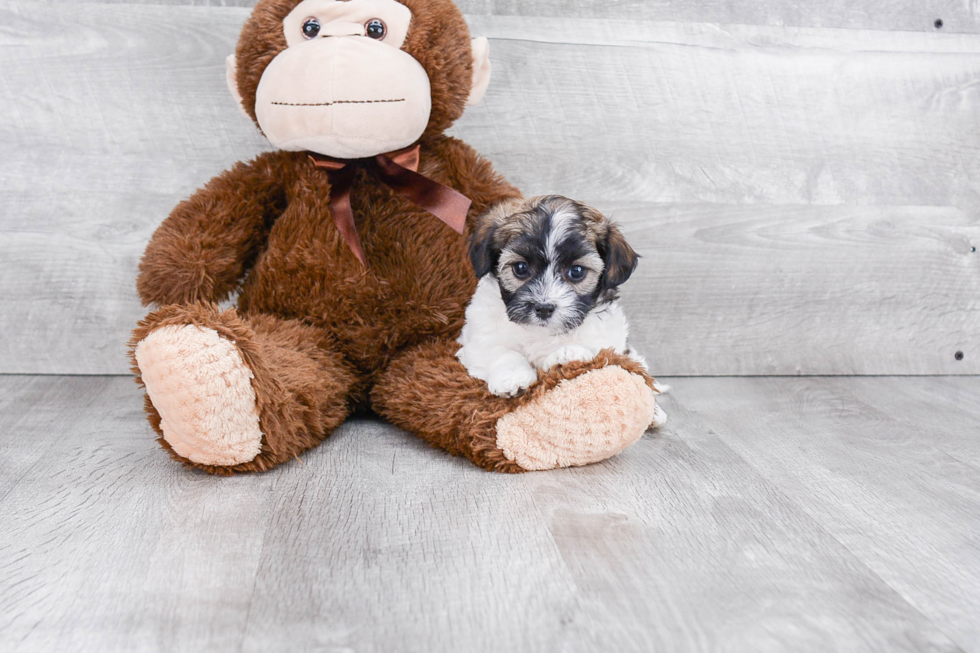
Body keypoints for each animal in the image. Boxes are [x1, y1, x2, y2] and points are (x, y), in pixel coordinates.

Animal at [460, 195, 668, 422]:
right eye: (520, 268)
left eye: (576, 271)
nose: (543, 308)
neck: (542, 332)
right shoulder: (477, 337)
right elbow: (499, 350)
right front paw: (513, 377)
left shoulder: (607, 337)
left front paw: (568, 354)